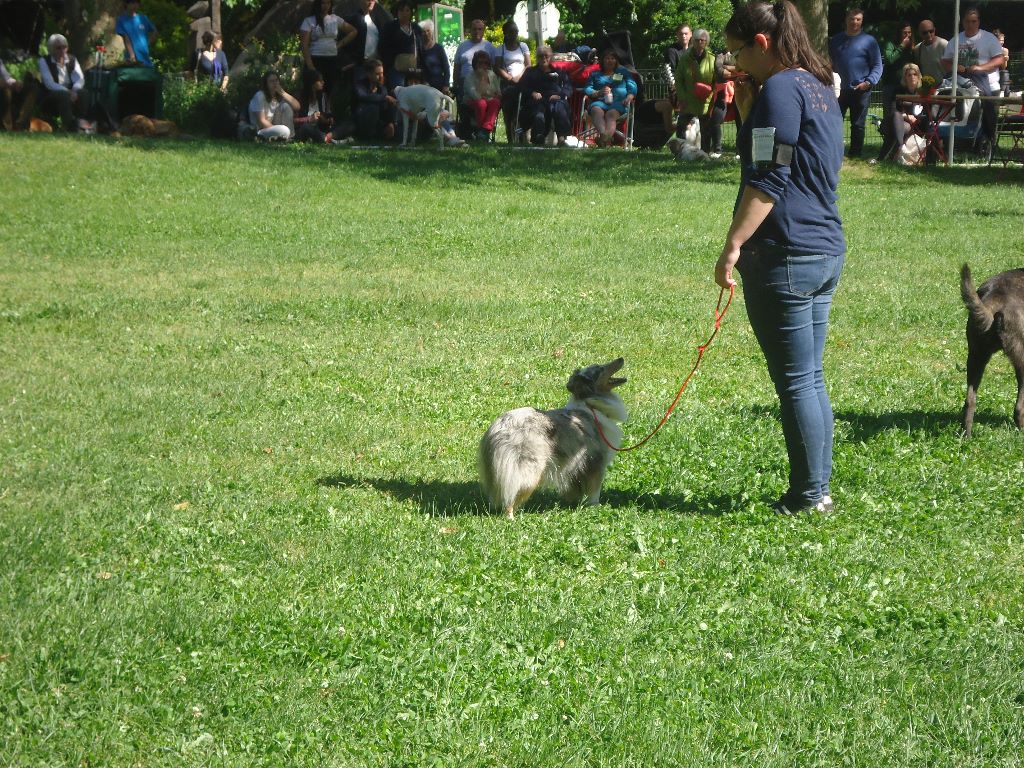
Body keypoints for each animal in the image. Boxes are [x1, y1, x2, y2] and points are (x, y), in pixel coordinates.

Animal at [481, 360, 630, 520]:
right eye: (600, 369)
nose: (621, 359)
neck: (591, 404)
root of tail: (499, 427)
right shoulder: (596, 463)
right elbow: (595, 491)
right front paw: (595, 508)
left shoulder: (576, 466)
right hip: (529, 472)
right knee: (510, 497)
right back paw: (511, 519)